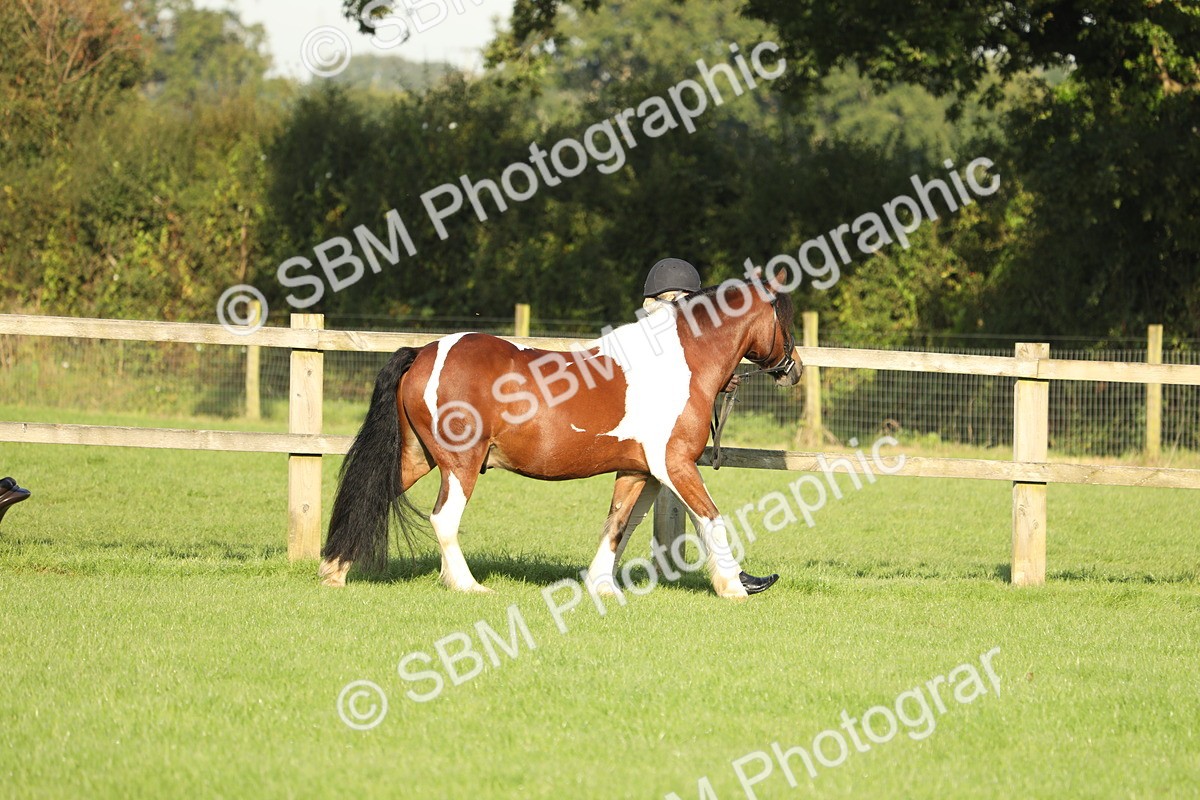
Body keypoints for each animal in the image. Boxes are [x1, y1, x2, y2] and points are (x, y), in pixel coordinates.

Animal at [318, 270, 801, 599]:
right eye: (785, 316)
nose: (792, 369)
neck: (679, 363)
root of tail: (424, 352)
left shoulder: (638, 471)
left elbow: (617, 526)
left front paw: (602, 586)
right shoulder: (675, 465)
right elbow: (711, 518)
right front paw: (735, 586)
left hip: (417, 457)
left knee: (371, 495)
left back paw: (334, 572)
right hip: (460, 464)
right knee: (443, 519)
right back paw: (468, 585)